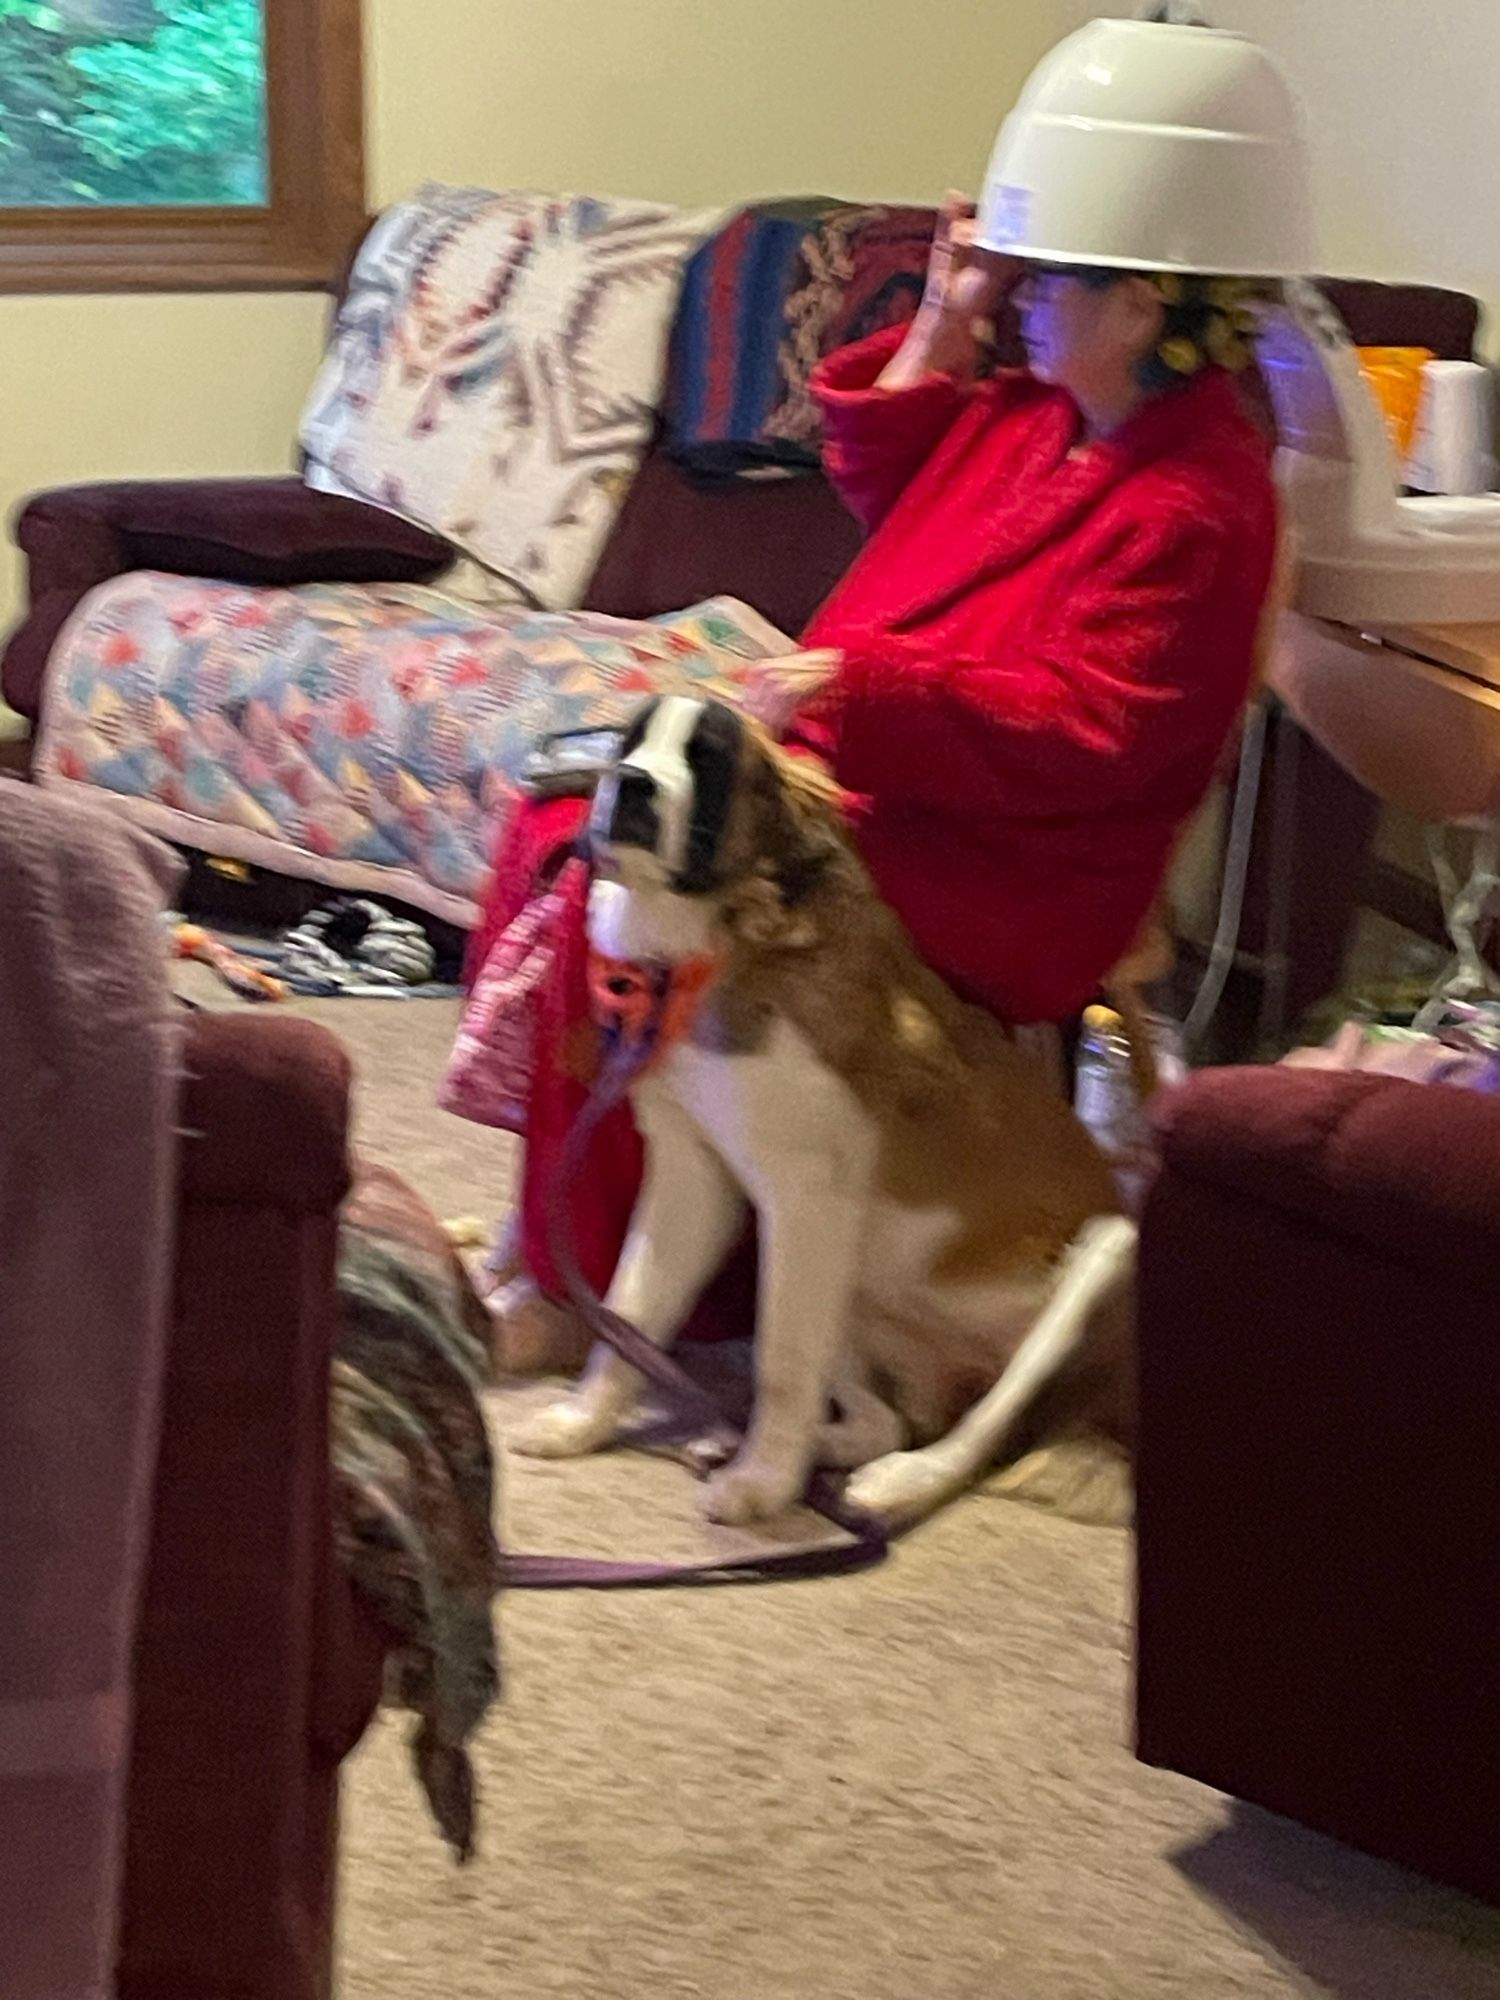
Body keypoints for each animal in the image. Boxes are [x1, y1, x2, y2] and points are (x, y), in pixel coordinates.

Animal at [516, 700, 1136, 1528]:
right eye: (632, 741)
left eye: (708, 758)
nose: (631, 783)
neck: (725, 937)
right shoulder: (695, 1178)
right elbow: (632, 1309)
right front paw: (583, 1423)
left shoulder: (807, 1198)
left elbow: (782, 1360)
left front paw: (762, 1484)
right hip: (844, 1279)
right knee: (885, 1418)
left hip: (1107, 1253)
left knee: (983, 1429)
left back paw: (902, 1480)